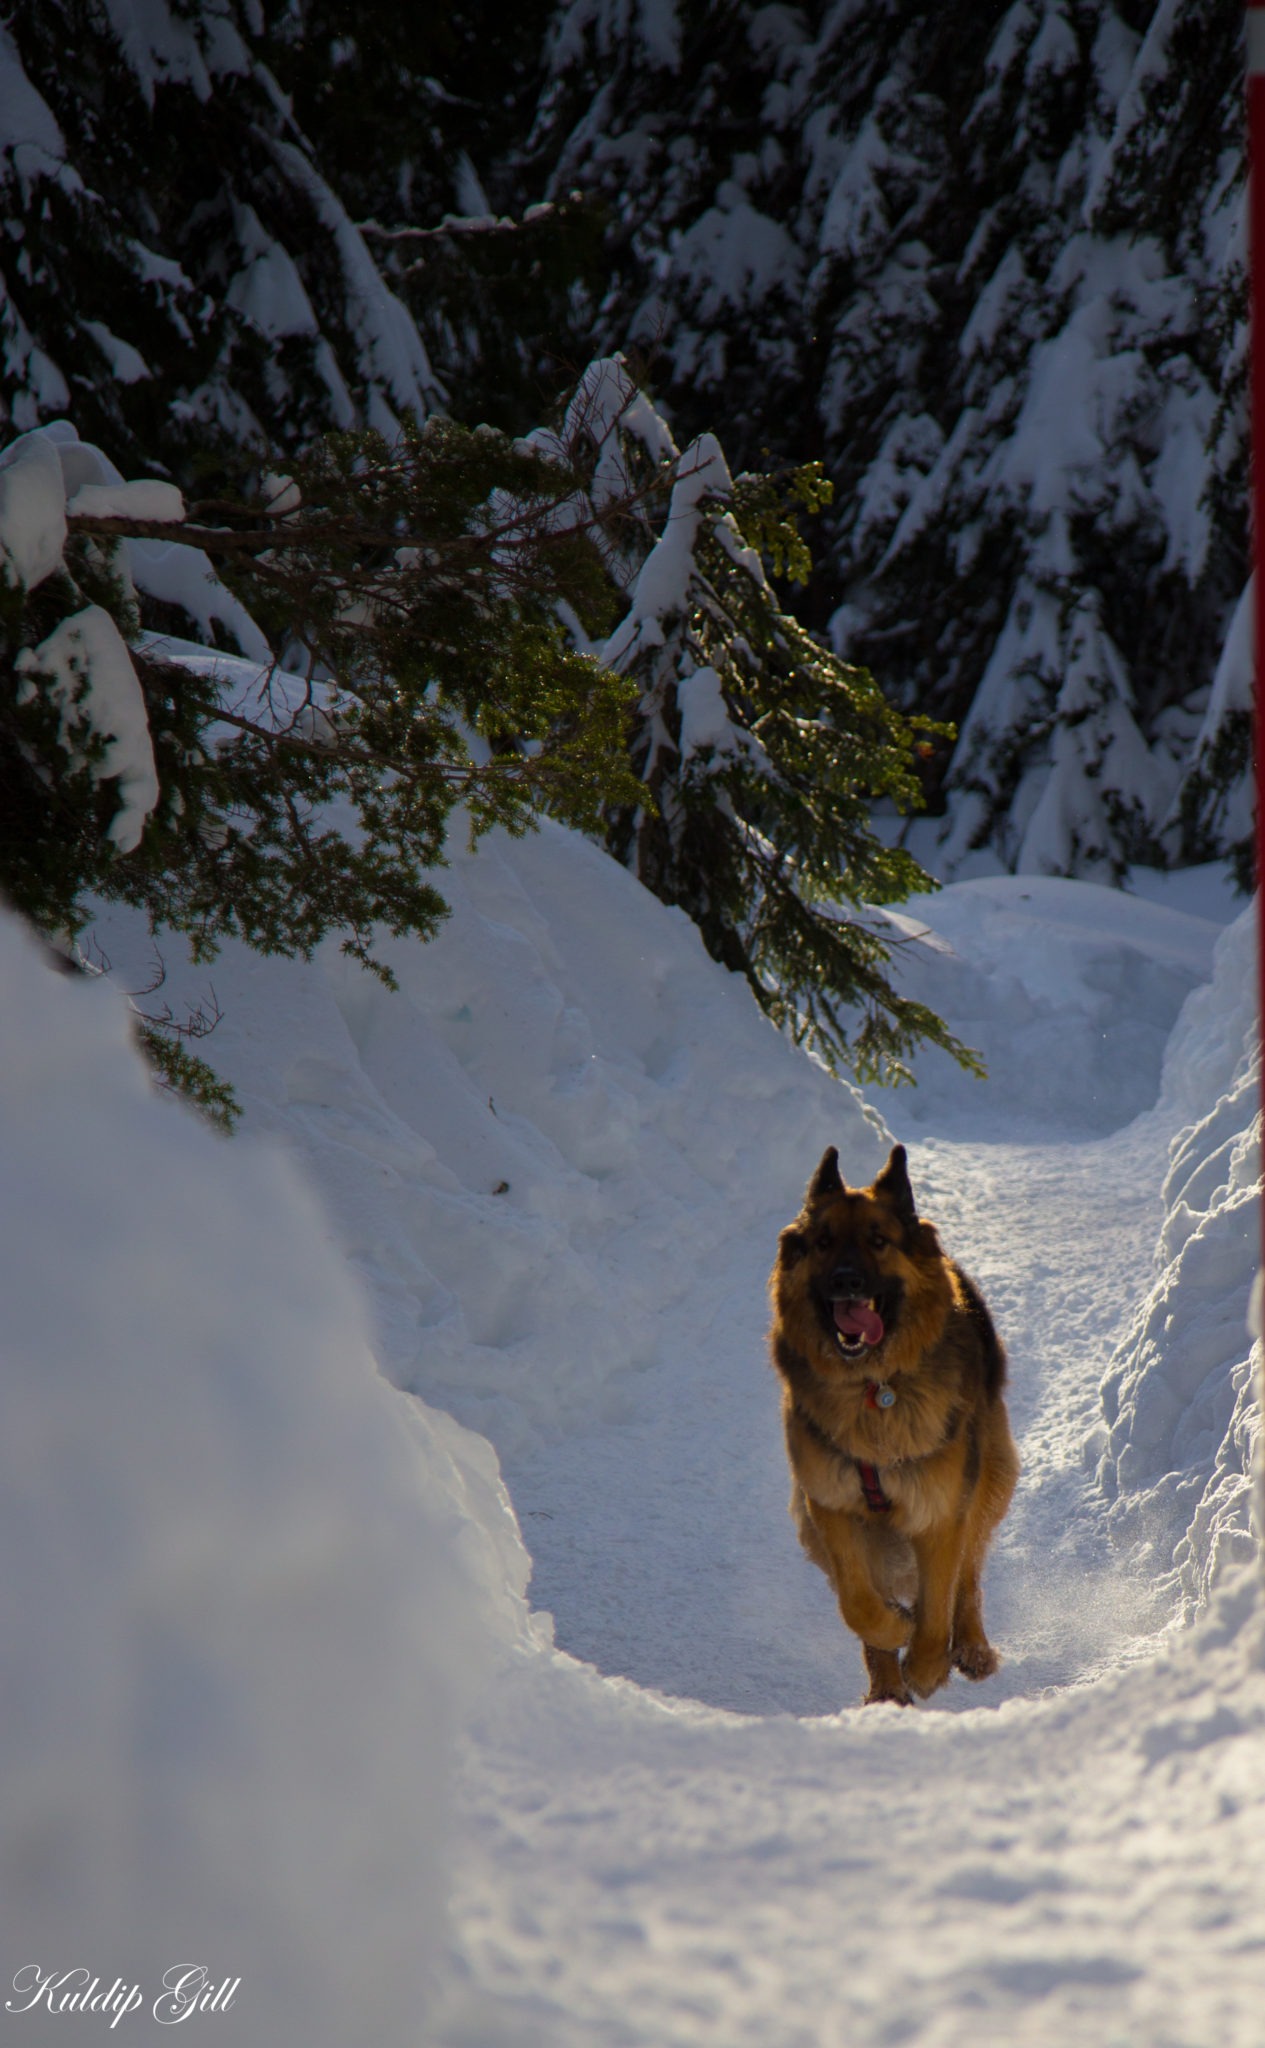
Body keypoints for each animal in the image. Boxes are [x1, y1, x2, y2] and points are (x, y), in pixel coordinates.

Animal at [768, 1142, 1018, 1705]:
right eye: (823, 1242)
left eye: (878, 1241)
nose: (845, 1281)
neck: (874, 1386)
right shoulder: (832, 1508)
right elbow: (859, 1606)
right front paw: (893, 1638)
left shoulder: (940, 1510)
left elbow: (938, 1599)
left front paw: (926, 1666)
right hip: (813, 1527)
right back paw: (886, 1686)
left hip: (988, 1482)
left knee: (968, 1579)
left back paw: (970, 1649)